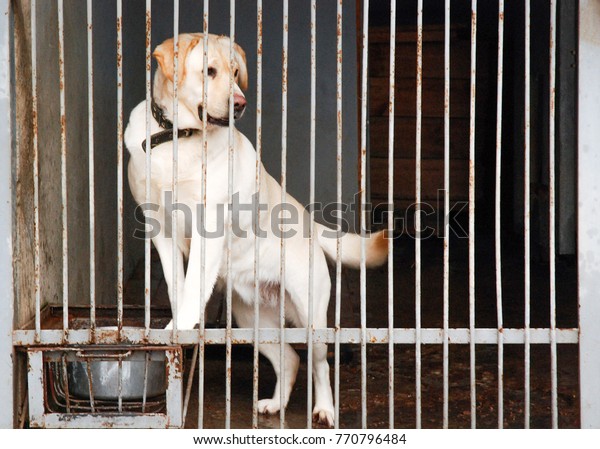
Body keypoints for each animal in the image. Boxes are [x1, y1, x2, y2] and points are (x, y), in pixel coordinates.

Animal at [126, 33, 390, 426]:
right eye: (210, 71)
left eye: (237, 73)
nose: (240, 104)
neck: (178, 138)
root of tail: (309, 222)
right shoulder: (160, 231)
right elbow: (178, 286)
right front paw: (180, 326)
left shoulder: (208, 229)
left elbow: (193, 286)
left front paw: (180, 326)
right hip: (250, 319)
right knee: (290, 360)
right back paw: (275, 404)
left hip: (311, 317)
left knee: (320, 365)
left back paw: (325, 410)